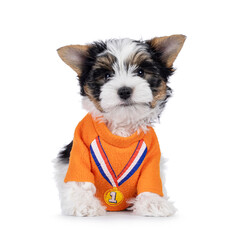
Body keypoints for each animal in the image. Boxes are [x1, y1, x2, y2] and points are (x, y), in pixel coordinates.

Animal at [54, 34, 186, 217]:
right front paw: (84, 204)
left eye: (140, 72)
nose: (124, 91)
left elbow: (151, 180)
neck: (122, 127)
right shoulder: (79, 149)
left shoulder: (152, 155)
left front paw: (153, 203)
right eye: (107, 75)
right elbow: (80, 180)